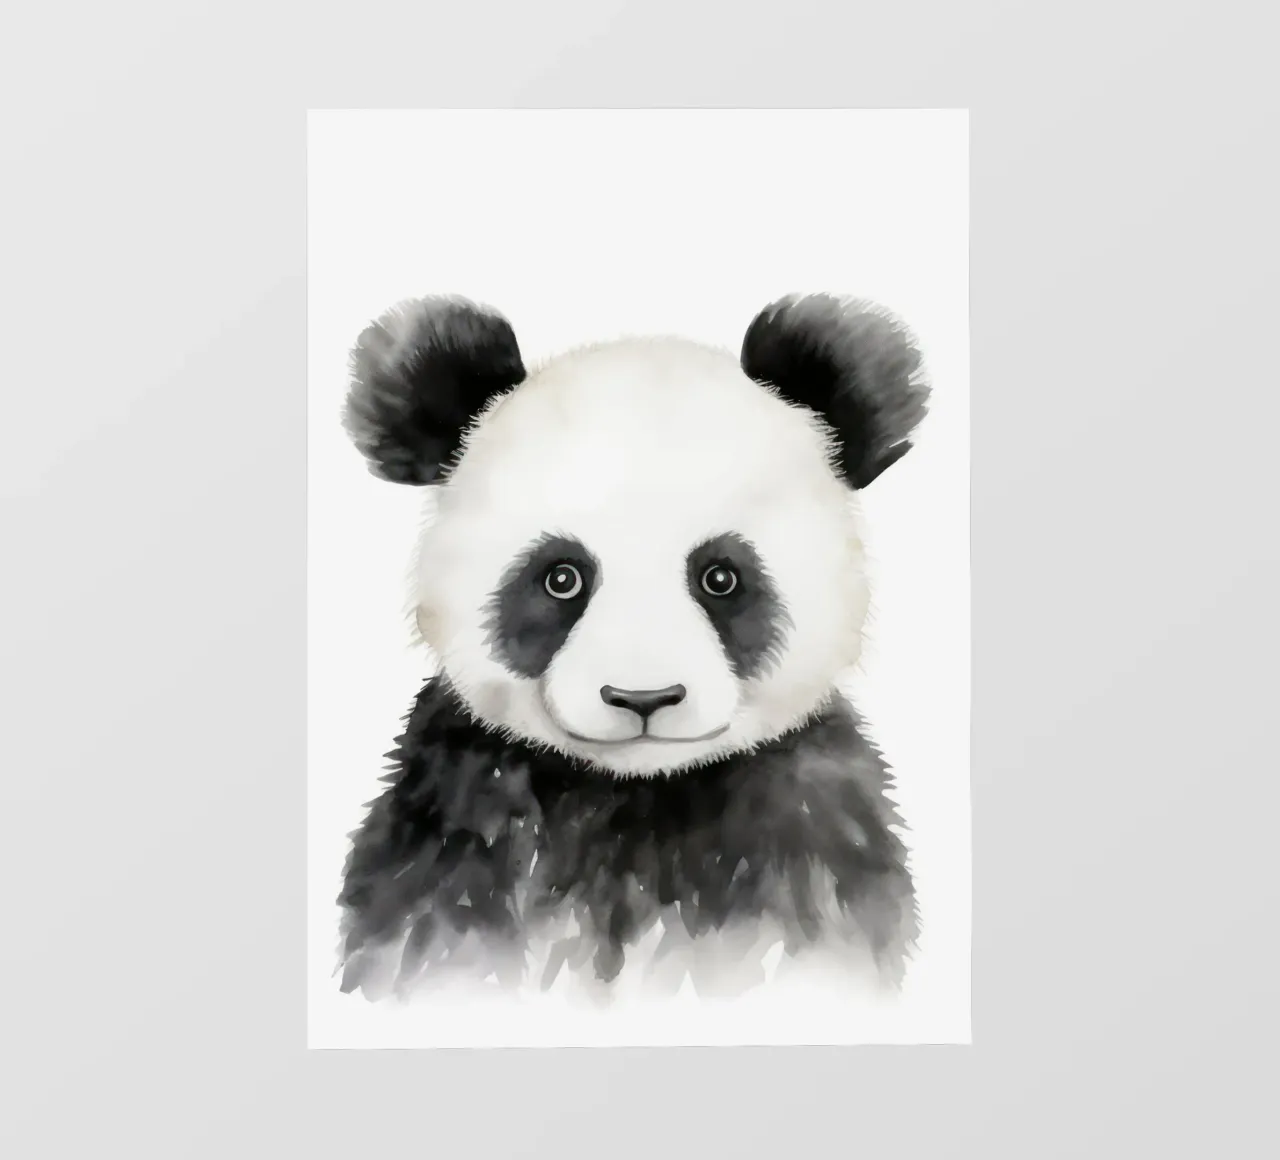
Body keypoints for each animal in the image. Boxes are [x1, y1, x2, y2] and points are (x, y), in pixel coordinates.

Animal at [336, 293, 930, 1001]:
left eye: (721, 577)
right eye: (561, 578)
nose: (643, 698)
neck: (636, 795)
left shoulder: (810, 829)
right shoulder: (457, 822)